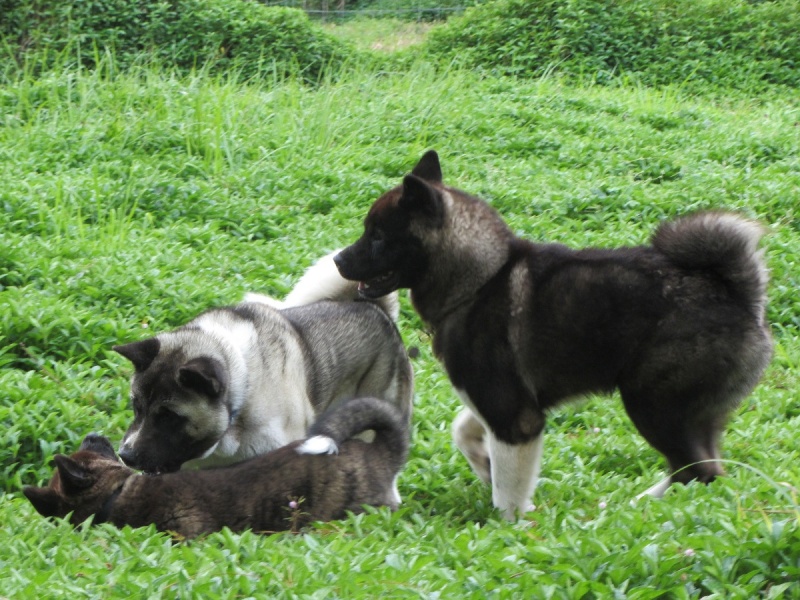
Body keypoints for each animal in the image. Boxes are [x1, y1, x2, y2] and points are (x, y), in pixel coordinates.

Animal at [334, 151, 772, 520]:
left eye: (377, 236)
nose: (338, 259)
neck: (480, 279)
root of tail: (735, 293)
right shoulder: (500, 403)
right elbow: (465, 430)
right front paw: (483, 464)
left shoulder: (516, 418)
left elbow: (509, 491)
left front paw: (509, 525)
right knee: (704, 467)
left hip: (653, 403)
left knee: (698, 470)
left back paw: (635, 506)